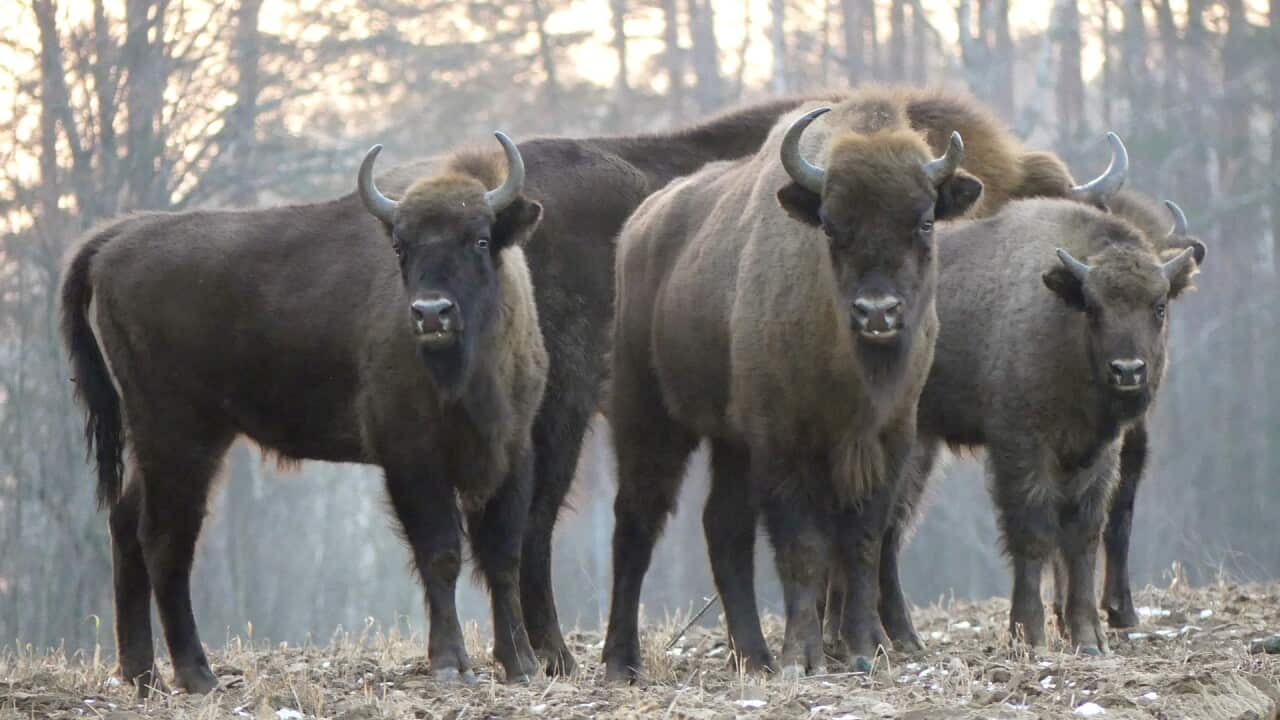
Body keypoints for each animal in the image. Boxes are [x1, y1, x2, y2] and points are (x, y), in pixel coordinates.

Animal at [63, 134, 550, 691]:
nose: (431, 313)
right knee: (165, 540)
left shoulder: (512, 451)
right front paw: (450, 663)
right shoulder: (412, 457)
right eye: (401, 246)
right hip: (179, 438)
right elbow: (441, 554)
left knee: (127, 524)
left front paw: (521, 664)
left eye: (480, 240)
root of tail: (117, 238)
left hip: (167, 442)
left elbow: (503, 555)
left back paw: (142, 674)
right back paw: (196, 674)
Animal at [596, 85, 1121, 676]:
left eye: (924, 221)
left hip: (730, 443)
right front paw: (806, 655)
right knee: (637, 521)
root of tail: (640, 227)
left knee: (723, 528)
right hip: (647, 416)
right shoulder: (785, 443)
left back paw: (754, 656)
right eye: (829, 224)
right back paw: (623, 662)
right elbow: (804, 545)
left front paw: (868, 647)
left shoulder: (890, 440)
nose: (878, 312)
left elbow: (866, 538)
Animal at [885, 194, 1203, 650]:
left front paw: (1088, 637)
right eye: (1093, 308)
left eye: (1159, 307)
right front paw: (1029, 633)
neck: (1062, 323)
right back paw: (899, 637)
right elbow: (1033, 531)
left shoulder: (1094, 452)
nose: (1127, 370)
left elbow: (1082, 535)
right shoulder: (1022, 444)